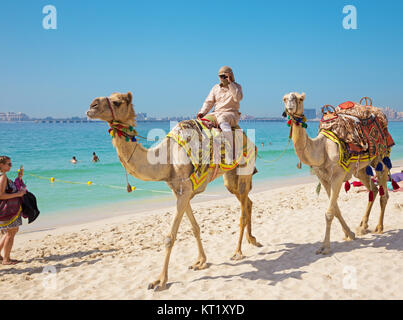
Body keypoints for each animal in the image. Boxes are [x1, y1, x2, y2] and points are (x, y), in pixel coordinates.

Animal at [87, 92, 262, 290]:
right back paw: (252, 240)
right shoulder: (180, 191)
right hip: (230, 179)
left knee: (243, 211)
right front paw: (200, 262)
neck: (167, 159)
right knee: (248, 202)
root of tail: (251, 142)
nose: (91, 106)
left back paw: (238, 252)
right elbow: (194, 227)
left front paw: (160, 280)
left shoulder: (184, 191)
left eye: (117, 102)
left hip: (245, 169)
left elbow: (170, 237)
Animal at [284, 92, 392, 255]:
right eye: (284, 98)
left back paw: (379, 227)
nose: (290, 105)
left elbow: (329, 213)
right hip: (360, 170)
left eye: (300, 99)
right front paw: (350, 234)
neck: (321, 148)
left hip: (380, 157)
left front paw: (325, 247)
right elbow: (335, 210)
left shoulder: (337, 176)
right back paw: (362, 226)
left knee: (383, 192)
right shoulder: (323, 177)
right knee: (372, 189)